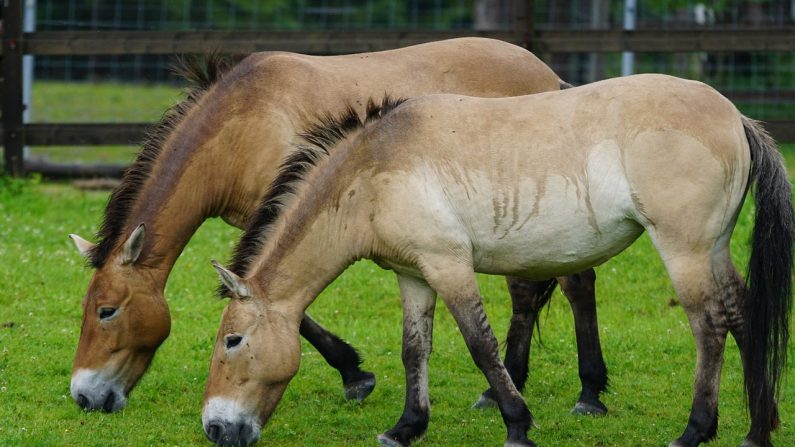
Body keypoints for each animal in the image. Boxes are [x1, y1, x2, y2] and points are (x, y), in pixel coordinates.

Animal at [67, 37, 608, 416]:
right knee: (528, 294)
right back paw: (506, 389)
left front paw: (354, 374)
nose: (84, 397)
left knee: (574, 284)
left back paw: (587, 392)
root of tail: (553, 77)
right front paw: (354, 372)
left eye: (107, 312)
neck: (244, 122)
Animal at [207, 73, 795, 447]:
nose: (214, 428)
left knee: (710, 327)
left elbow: (481, 346)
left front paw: (517, 425)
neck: (375, 169)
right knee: (743, 316)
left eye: (233, 341)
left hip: (683, 250)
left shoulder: (449, 267)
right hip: (712, 249)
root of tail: (734, 115)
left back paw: (695, 431)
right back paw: (755, 431)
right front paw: (405, 428)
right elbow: (414, 350)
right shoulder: (414, 276)